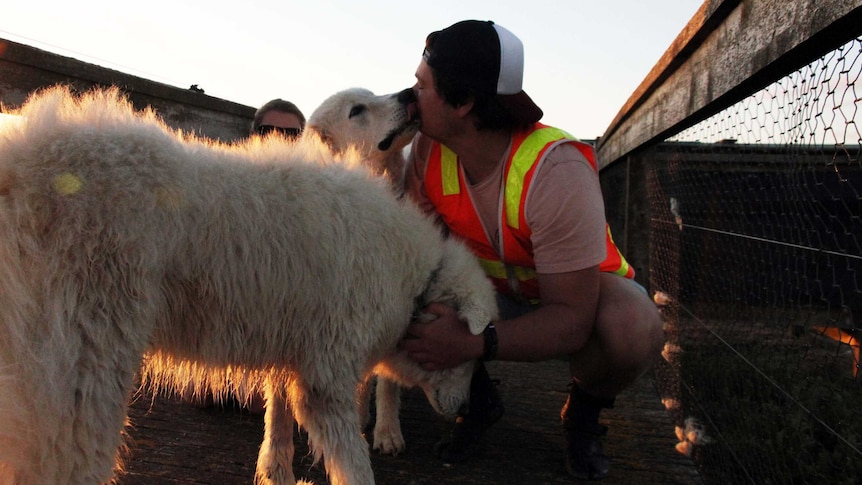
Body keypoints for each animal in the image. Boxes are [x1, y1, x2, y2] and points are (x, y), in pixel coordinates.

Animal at [0, 87, 496, 484]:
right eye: (468, 354)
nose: (465, 409)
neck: (410, 272)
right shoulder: (325, 378)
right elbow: (354, 464)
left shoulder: (296, 353)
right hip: (83, 366)